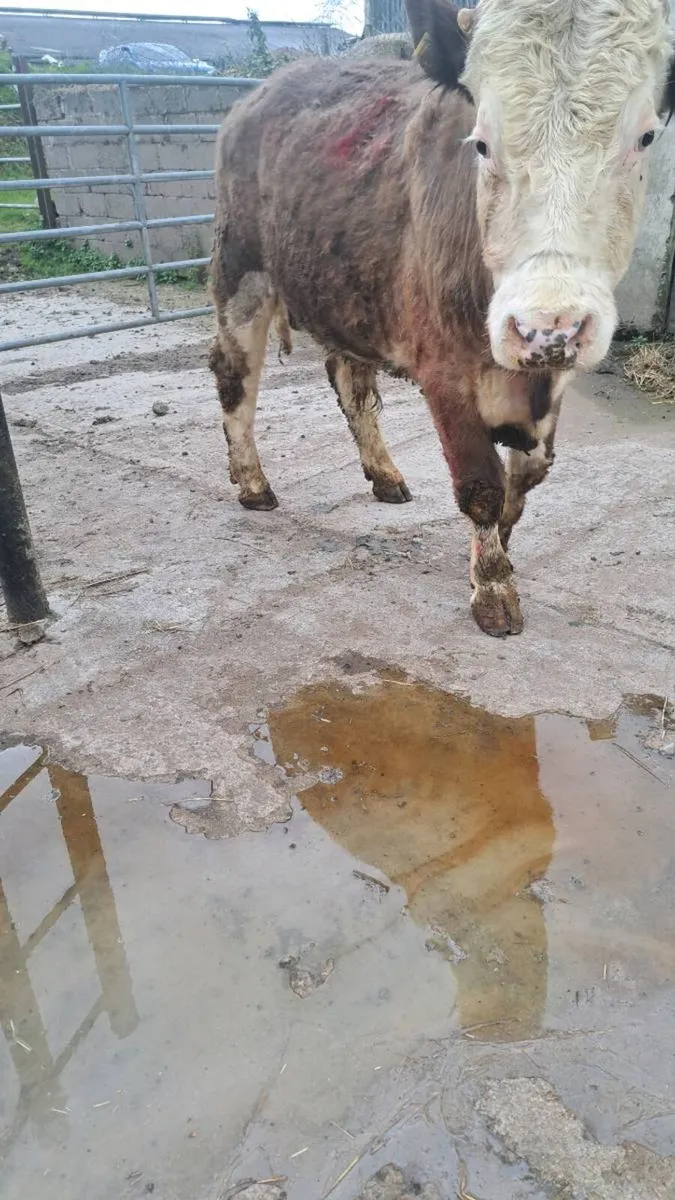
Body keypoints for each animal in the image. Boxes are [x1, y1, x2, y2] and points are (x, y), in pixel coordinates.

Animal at [209, 0, 674, 637]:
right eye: (480, 143)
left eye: (645, 136)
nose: (546, 326)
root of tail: (261, 93)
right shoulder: (445, 370)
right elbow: (480, 484)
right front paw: (494, 590)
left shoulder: (551, 379)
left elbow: (524, 477)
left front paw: (496, 550)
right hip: (242, 273)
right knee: (237, 378)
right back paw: (253, 482)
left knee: (350, 382)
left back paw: (384, 475)